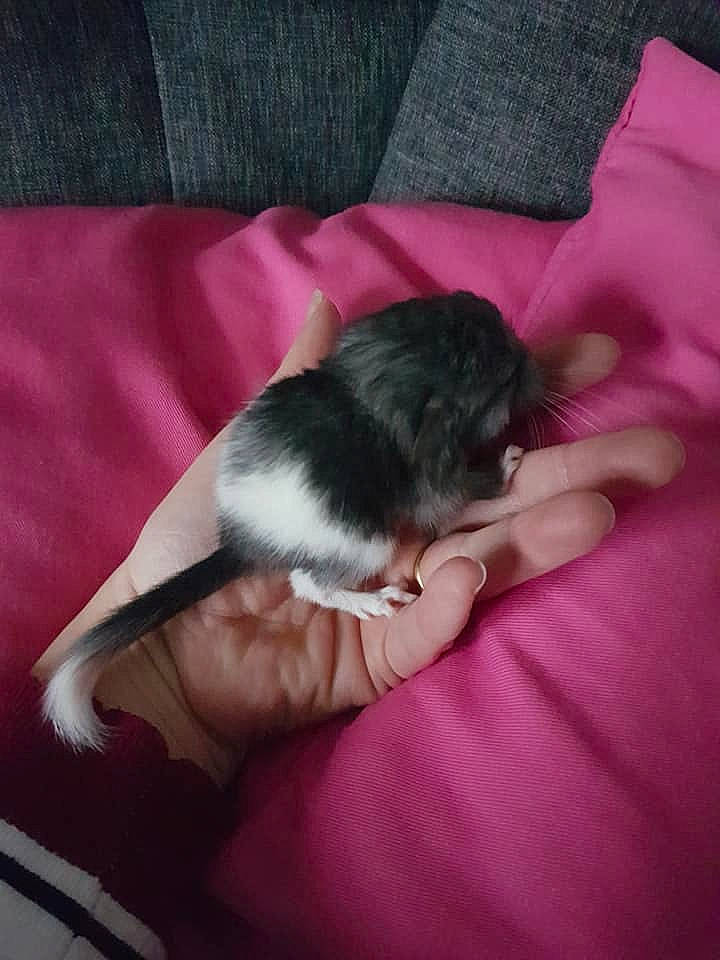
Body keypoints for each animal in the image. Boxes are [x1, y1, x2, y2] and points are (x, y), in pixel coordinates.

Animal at [44, 291, 543, 749]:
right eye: (504, 378)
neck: (375, 388)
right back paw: (377, 601)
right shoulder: (440, 484)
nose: (531, 359)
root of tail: (244, 543)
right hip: (367, 544)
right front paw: (511, 460)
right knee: (308, 583)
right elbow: (472, 486)